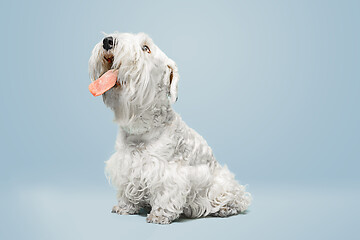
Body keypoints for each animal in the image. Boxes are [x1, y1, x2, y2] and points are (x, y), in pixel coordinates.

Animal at [88, 31, 250, 223]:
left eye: (146, 48)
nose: (108, 41)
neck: (141, 130)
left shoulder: (169, 172)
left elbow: (166, 193)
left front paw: (159, 215)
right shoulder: (126, 166)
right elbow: (128, 189)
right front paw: (125, 207)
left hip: (223, 184)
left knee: (236, 198)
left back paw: (225, 208)